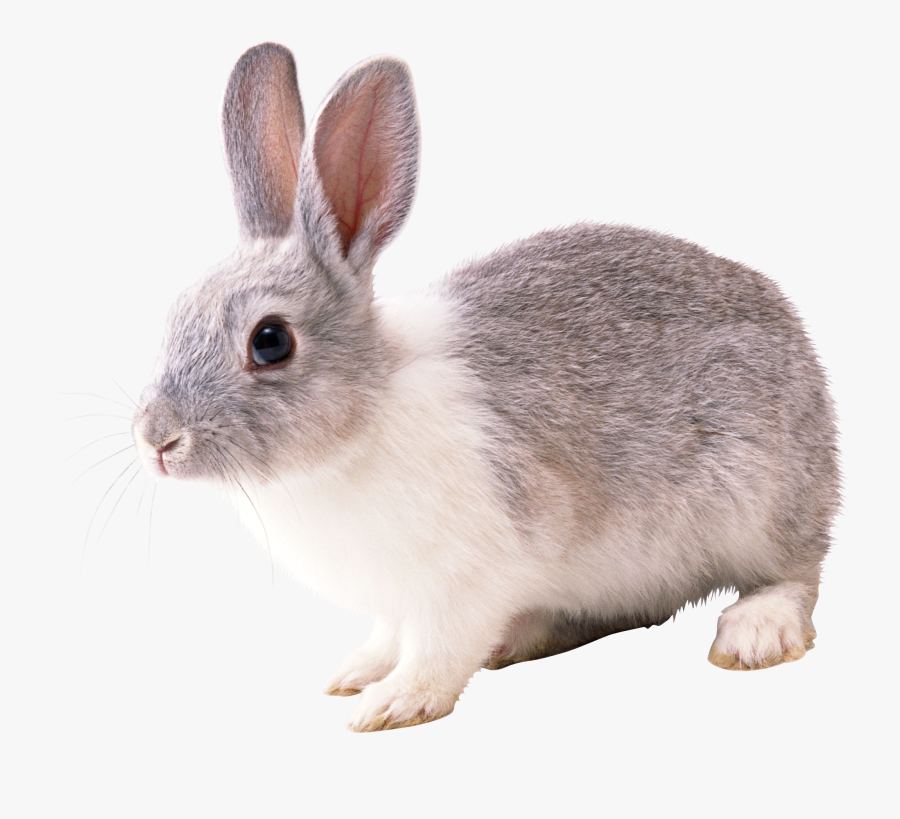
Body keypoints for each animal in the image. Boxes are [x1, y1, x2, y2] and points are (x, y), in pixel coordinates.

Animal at [132, 42, 840, 732]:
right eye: (175, 314)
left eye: (270, 341)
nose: (156, 440)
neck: (361, 421)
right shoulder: (398, 600)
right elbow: (389, 636)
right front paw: (356, 672)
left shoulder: (467, 579)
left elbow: (439, 649)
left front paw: (395, 703)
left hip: (758, 502)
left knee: (798, 572)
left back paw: (755, 633)